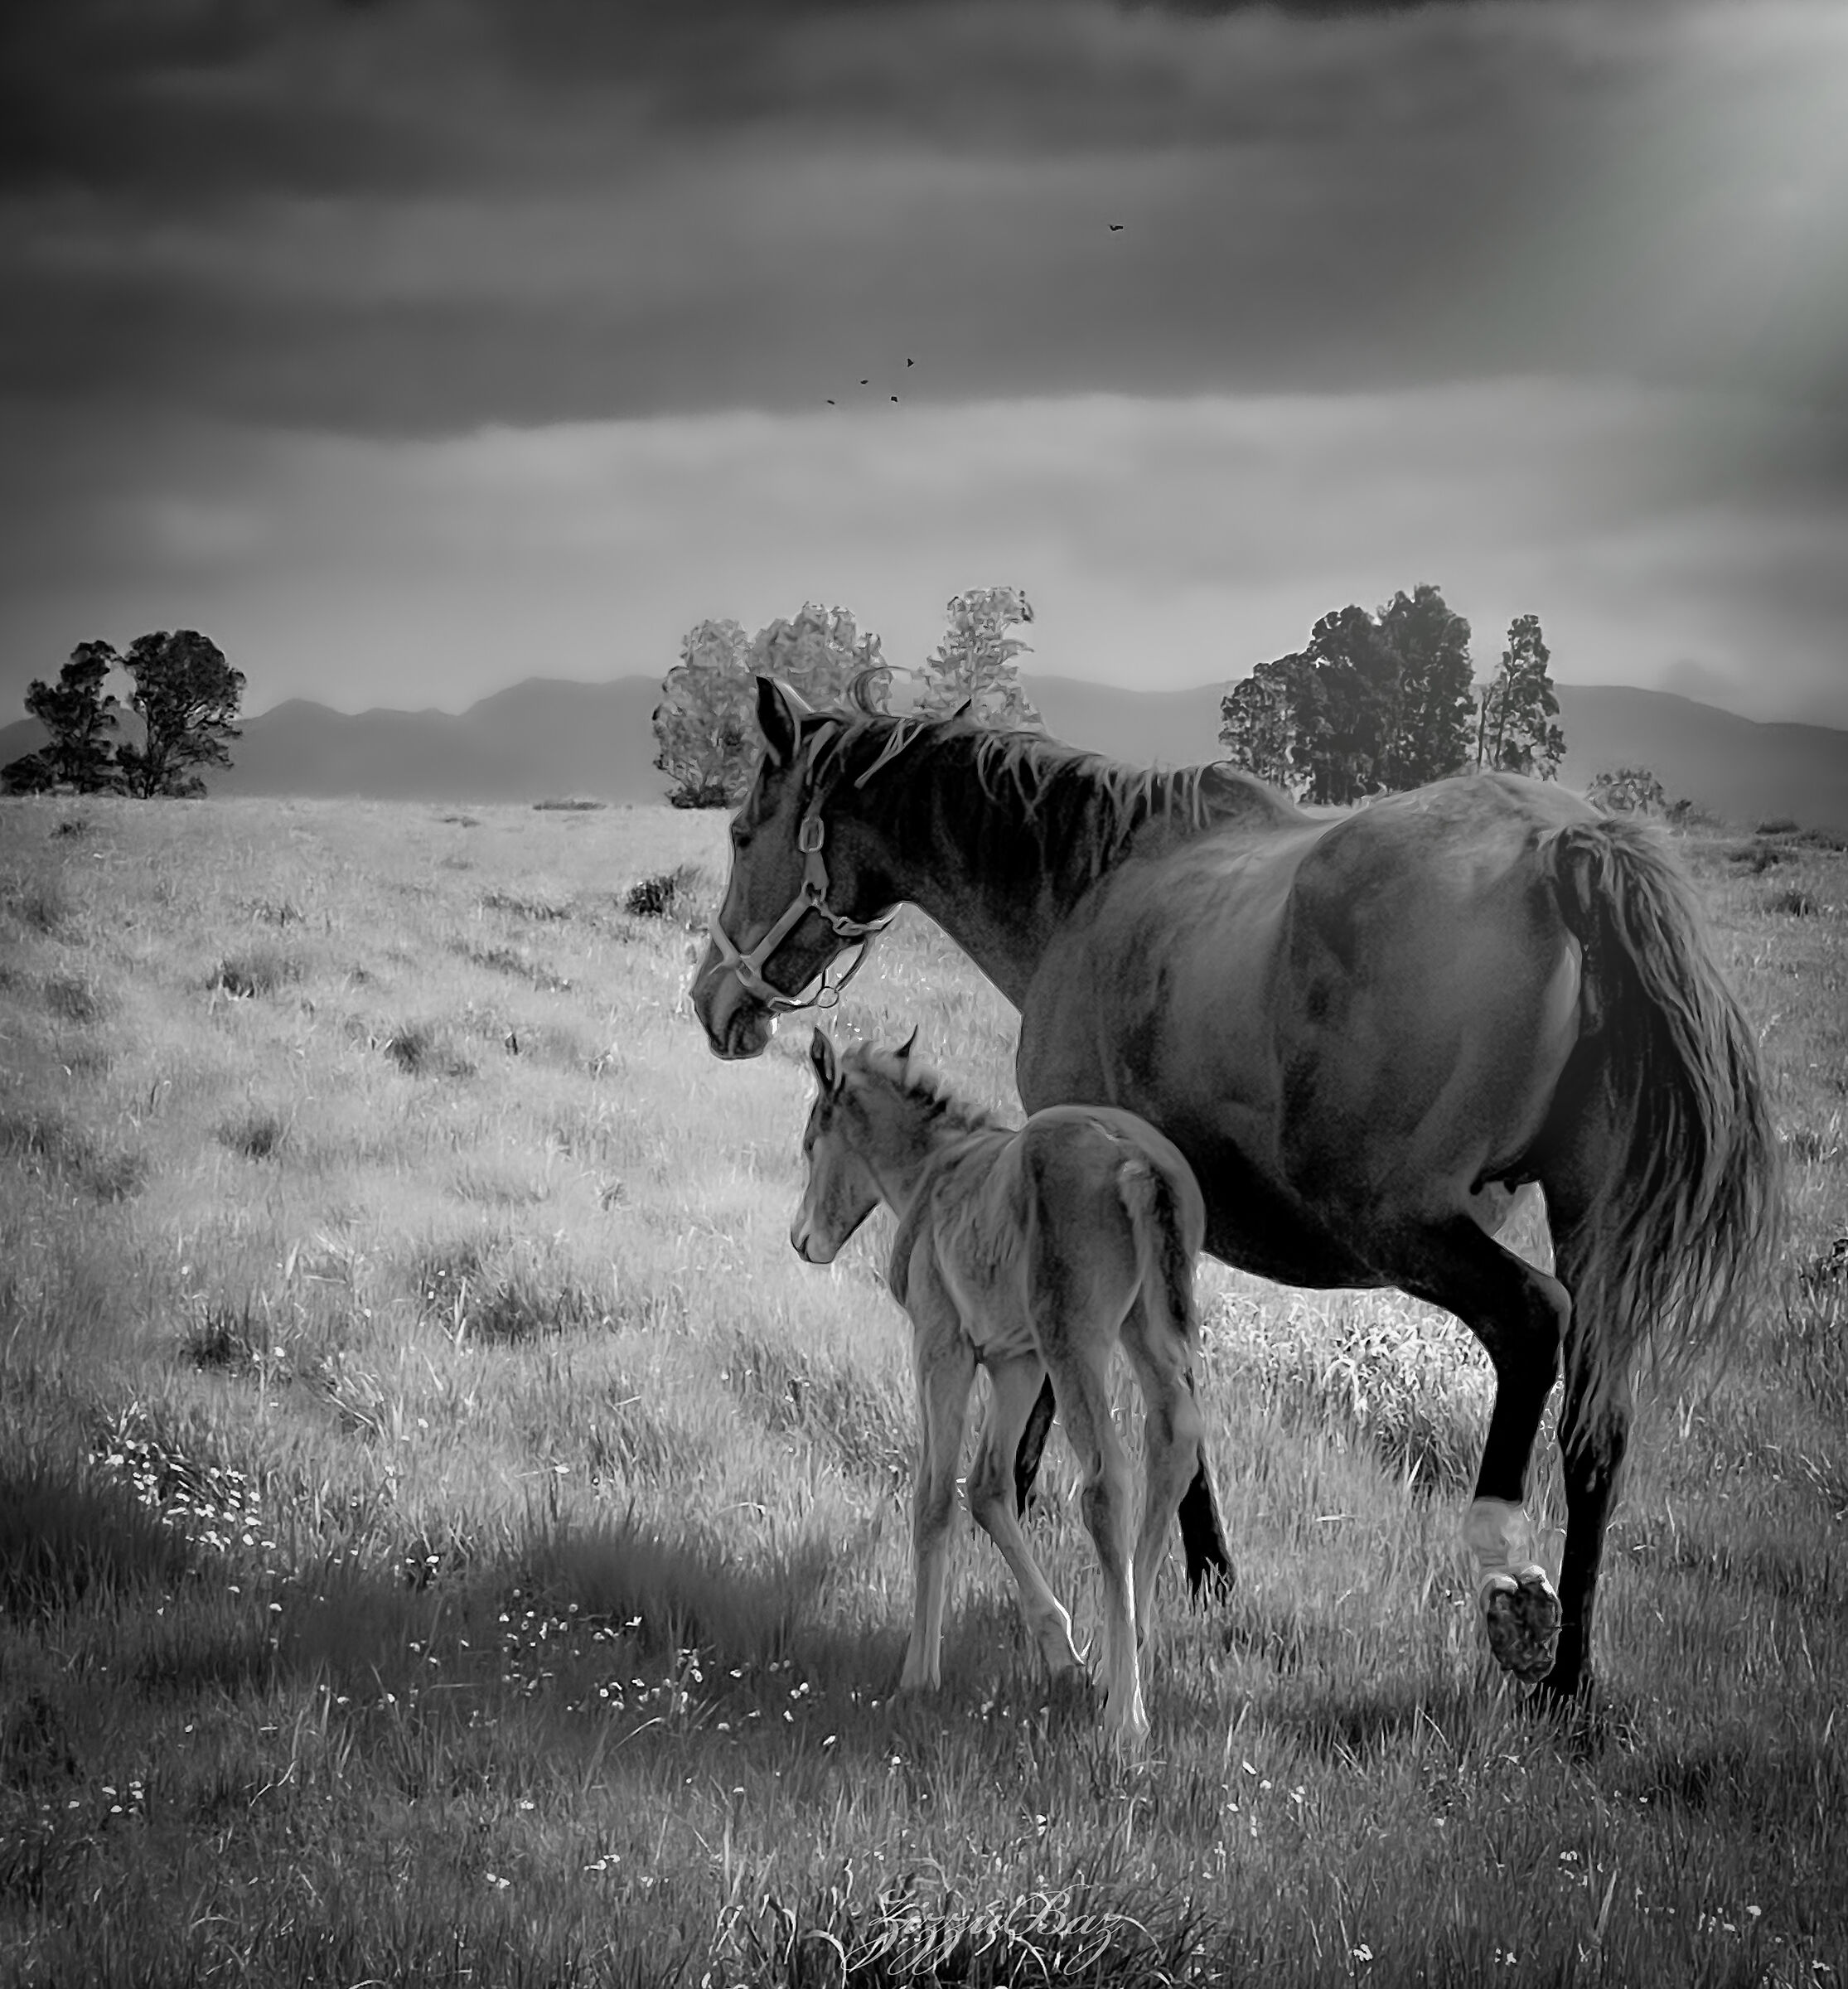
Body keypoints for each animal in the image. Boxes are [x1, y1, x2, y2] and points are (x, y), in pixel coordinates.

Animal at [790, 1026, 1214, 1746]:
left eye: (810, 1141)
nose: (801, 1240)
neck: (936, 1171)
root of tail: (1139, 1163)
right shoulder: (1017, 1361)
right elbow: (989, 1486)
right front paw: (1061, 1649)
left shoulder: (943, 1344)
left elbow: (935, 1493)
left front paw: (918, 1676)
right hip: (1147, 1329)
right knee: (1175, 1442)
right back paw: (1117, 1665)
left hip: (1075, 1336)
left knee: (1107, 1481)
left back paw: (1126, 1716)